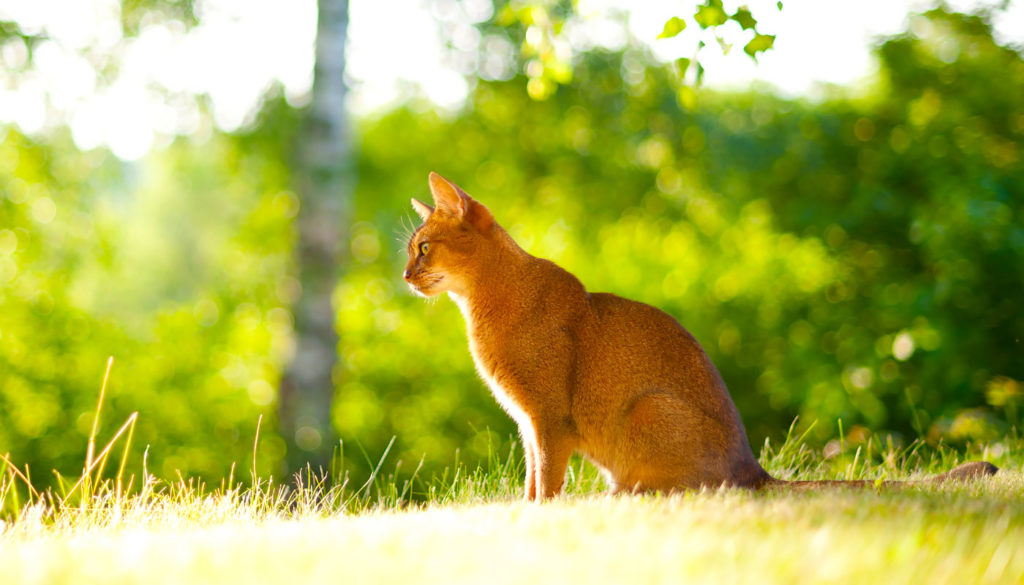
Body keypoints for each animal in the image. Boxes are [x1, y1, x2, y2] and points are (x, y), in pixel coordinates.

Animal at [403, 172, 995, 502]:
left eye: (423, 248)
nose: (405, 276)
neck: (487, 303)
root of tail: (753, 468)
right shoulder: (528, 420)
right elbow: (531, 477)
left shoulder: (547, 417)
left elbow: (545, 481)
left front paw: (538, 519)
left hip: (646, 407)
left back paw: (624, 495)